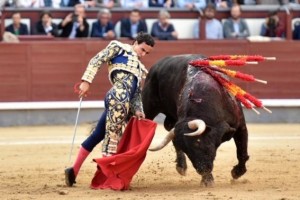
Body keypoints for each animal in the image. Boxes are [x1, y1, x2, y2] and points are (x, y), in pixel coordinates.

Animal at [142, 54, 250, 186]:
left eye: (197, 142)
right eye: (187, 150)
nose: (202, 170)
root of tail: (155, 66)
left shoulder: (241, 126)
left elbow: (242, 151)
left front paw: (237, 172)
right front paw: (207, 180)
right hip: (148, 110)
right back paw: (181, 167)